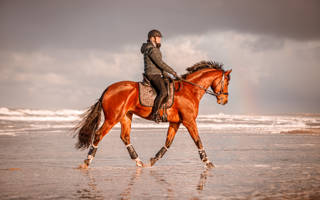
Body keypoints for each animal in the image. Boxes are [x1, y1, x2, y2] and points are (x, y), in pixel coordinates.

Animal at [74, 60, 231, 169]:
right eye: (227, 82)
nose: (224, 100)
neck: (189, 90)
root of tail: (107, 90)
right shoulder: (189, 121)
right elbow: (198, 141)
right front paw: (208, 162)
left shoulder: (175, 122)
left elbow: (168, 142)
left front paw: (153, 160)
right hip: (113, 118)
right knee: (99, 134)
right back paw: (87, 162)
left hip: (126, 116)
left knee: (125, 137)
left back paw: (139, 162)